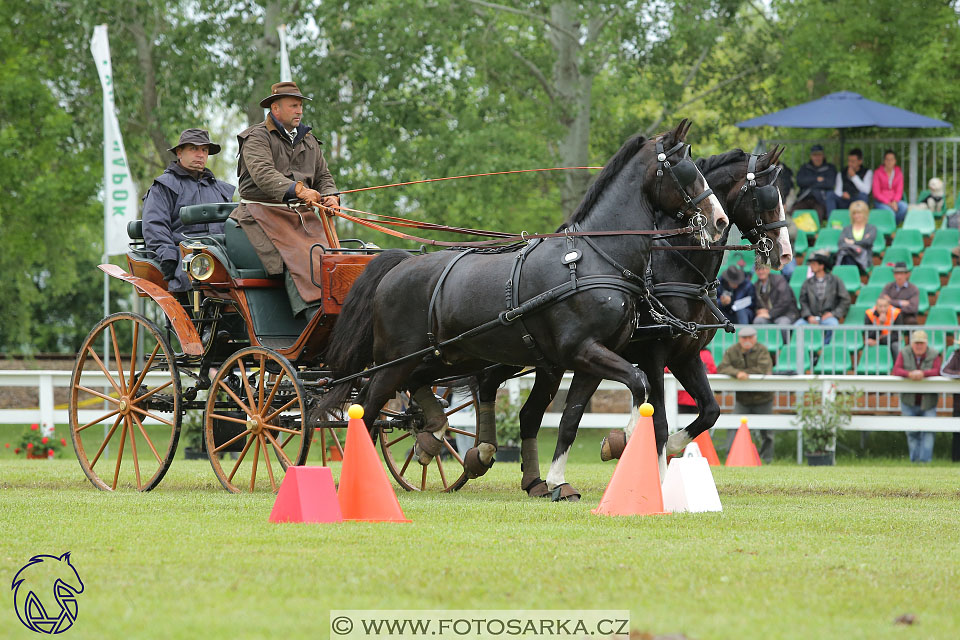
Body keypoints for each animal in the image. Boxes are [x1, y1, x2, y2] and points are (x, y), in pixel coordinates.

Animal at [318, 120, 724, 472]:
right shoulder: (590, 351)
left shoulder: (591, 357)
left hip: (449, 356)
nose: (718, 220)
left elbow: (573, 417)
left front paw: (559, 480)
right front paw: (623, 442)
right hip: (393, 362)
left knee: (417, 387)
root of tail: (400, 264)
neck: (596, 257)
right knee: (367, 409)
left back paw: (434, 435)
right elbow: (644, 393)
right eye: (683, 169)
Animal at [506, 146, 792, 500]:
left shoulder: (685, 356)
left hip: (552, 364)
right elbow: (659, 419)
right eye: (767, 197)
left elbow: (709, 411)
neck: (677, 268)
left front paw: (654, 448)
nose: (785, 253)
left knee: (531, 414)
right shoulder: (653, 354)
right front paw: (645, 460)